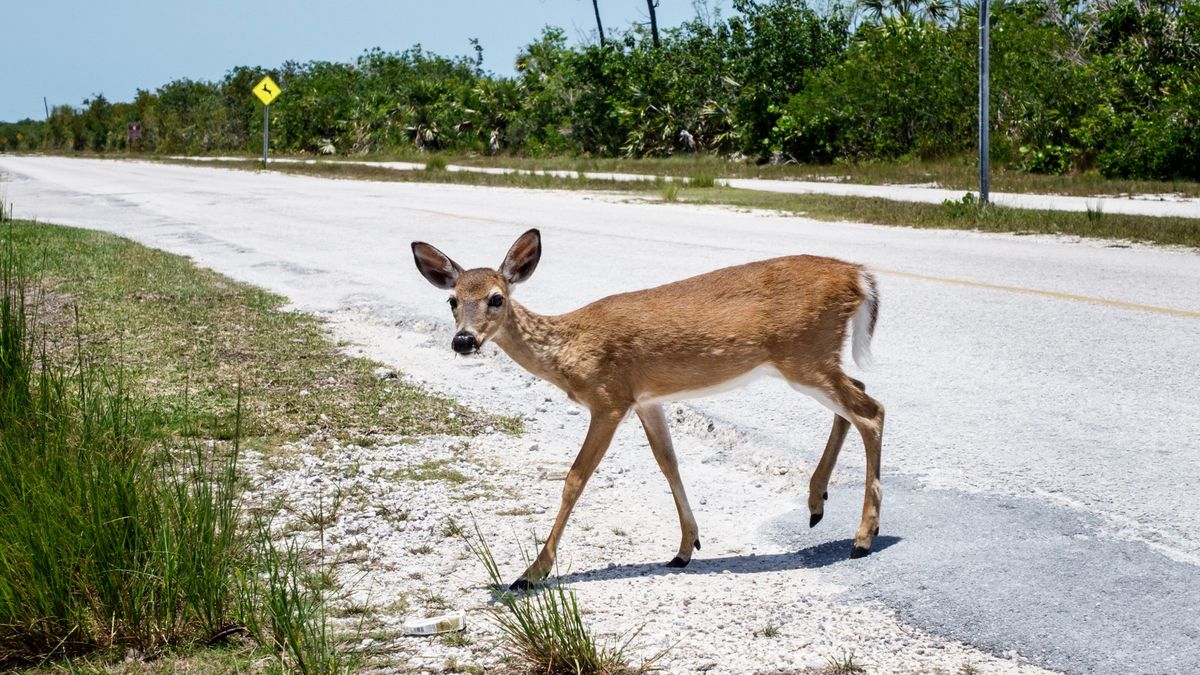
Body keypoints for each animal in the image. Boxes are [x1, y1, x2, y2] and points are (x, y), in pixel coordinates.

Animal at [412, 228, 883, 586]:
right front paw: (685, 548)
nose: (463, 341)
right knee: (857, 396)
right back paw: (817, 503)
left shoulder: (609, 399)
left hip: (804, 354)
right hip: (812, 359)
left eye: (496, 298)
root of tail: (858, 275)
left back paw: (863, 537)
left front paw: (531, 573)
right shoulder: (647, 400)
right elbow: (668, 462)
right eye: (452, 300)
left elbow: (575, 478)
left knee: (870, 410)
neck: (569, 351)